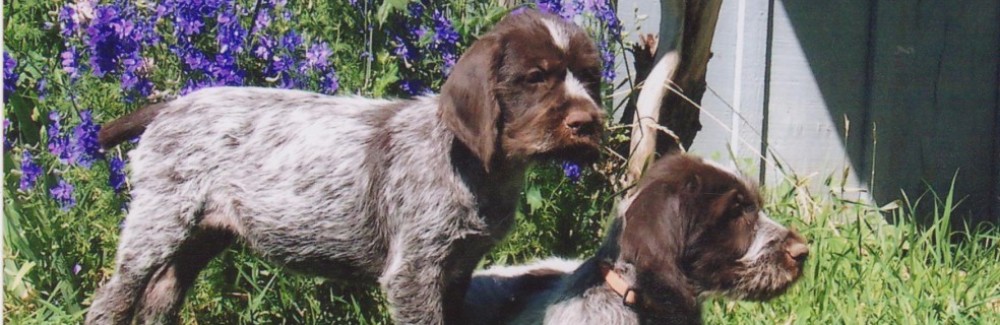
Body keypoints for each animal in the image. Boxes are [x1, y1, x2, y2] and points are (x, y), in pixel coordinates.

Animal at [86, 10, 600, 324]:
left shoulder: (457, 269)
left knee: (162, 294)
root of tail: (169, 107)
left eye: (590, 76)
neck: (482, 170)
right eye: (535, 78)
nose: (588, 123)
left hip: (204, 233)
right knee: (115, 297)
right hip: (160, 221)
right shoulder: (414, 272)